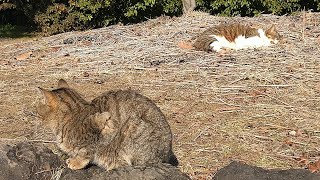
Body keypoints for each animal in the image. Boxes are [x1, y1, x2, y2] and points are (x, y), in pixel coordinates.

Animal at [37, 79, 180, 171]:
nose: (36, 114)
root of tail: (167, 152)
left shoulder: (103, 126)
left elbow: (86, 151)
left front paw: (75, 161)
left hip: (132, 129)